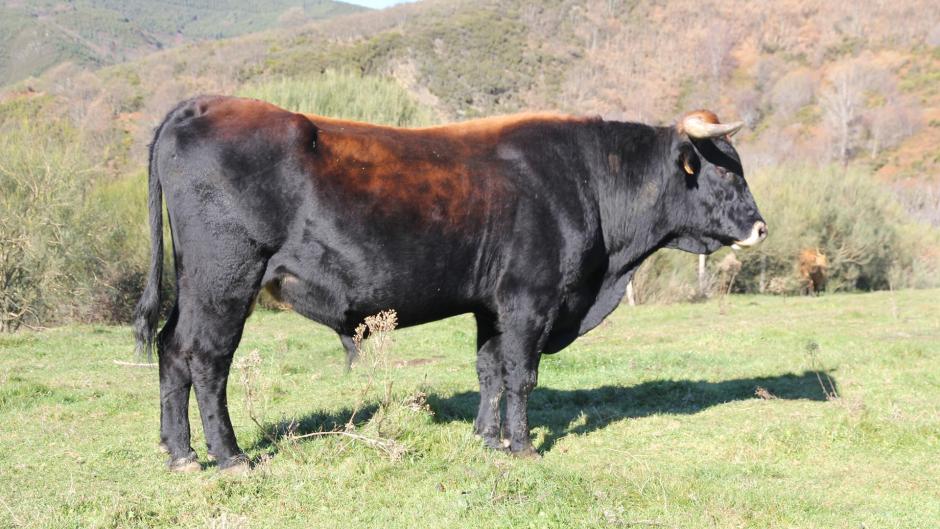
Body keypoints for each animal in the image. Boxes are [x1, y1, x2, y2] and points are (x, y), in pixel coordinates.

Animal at [133, 97, 767, 473]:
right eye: (724, 170)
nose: (760, 226)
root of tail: (204, 103)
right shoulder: (529, 300)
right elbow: (521, 376)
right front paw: (522, 446)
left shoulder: (491, 305)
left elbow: (488, 370)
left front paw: (487, 439)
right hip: (225, 281)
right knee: (207, 360)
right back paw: (229, 456)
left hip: (195, 286)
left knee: (172, 351)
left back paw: (179, 453)